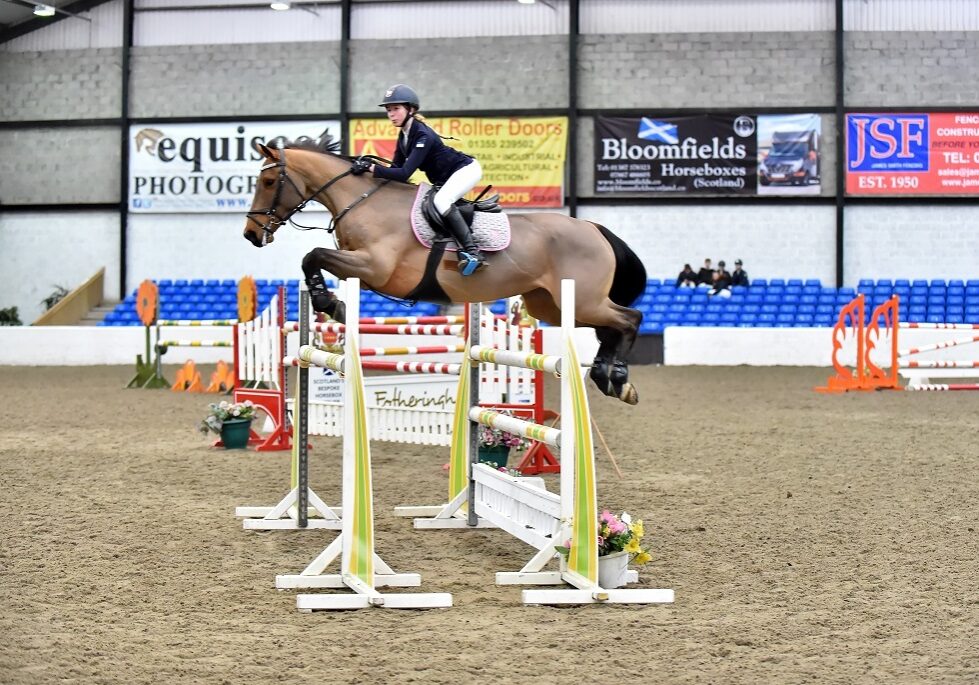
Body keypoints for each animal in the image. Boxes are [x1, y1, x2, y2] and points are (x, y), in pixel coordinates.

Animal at [241, 137, 648, 404]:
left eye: (268, 181)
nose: (250, 234)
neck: (362, 201)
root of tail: (594, 228)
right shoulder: (360, 268)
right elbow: (313, 259)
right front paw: (330, 302)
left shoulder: (375, 266)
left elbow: (313, 255)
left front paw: (331, 304)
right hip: (551, 305)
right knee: (609, 326)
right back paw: (609, 379)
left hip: (580, 299)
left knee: (630, 318)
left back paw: (617, 377)